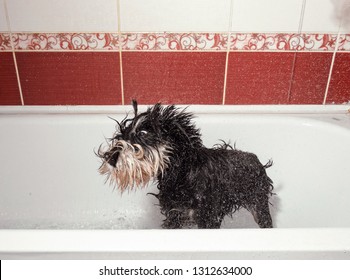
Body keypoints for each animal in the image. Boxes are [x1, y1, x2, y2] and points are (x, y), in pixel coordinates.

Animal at [97, 101, 274, 229]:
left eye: (143, 133)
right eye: (124, 133)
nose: (110, 158)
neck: (180, 176)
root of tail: (257, 161)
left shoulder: (207, 218)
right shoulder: (174, 215)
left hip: (258, 203)